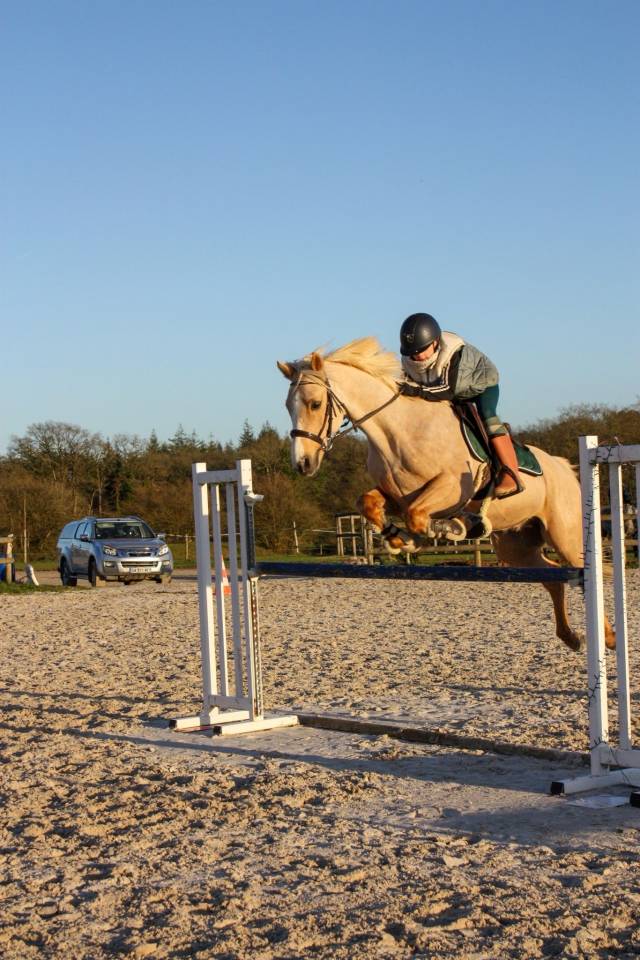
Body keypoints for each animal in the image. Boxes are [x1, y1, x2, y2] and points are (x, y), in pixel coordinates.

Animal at [277, 336, 615, 652]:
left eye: (315, 404)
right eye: (288, 407)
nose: (303, 463)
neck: (398, 431)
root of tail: (562, 466)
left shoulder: (452, 488)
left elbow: (418, 515)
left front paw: (448, 529)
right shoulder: (394, 494)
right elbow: (370, 503)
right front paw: (401, 540)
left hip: (566, 535)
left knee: (585, 574)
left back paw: (608, 637)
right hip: (517, 546)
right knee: (553, 577)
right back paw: (571, 636)